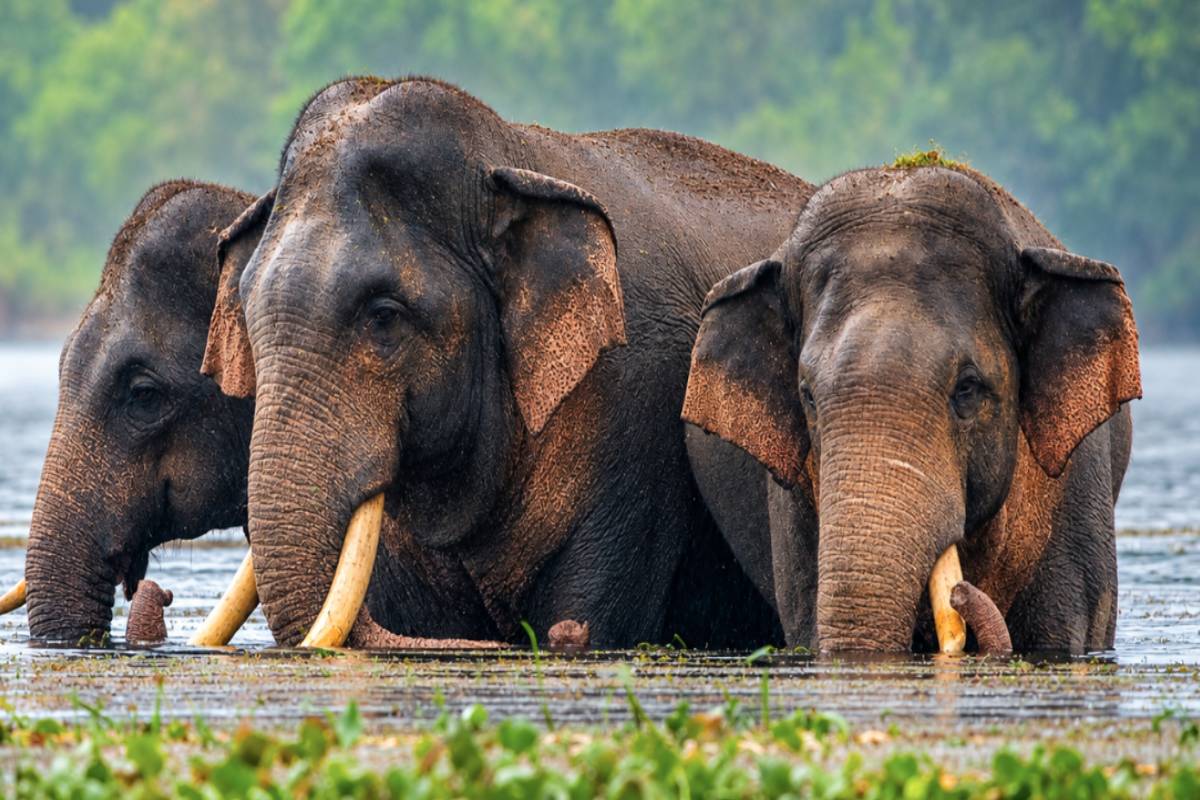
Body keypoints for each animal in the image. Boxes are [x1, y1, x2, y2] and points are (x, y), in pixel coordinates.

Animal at [200, 77, 814, 649]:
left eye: (384, 316)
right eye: (247, 312)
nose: (507, 640)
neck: (510, 157)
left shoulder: (635, 412)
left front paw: (566, 633)